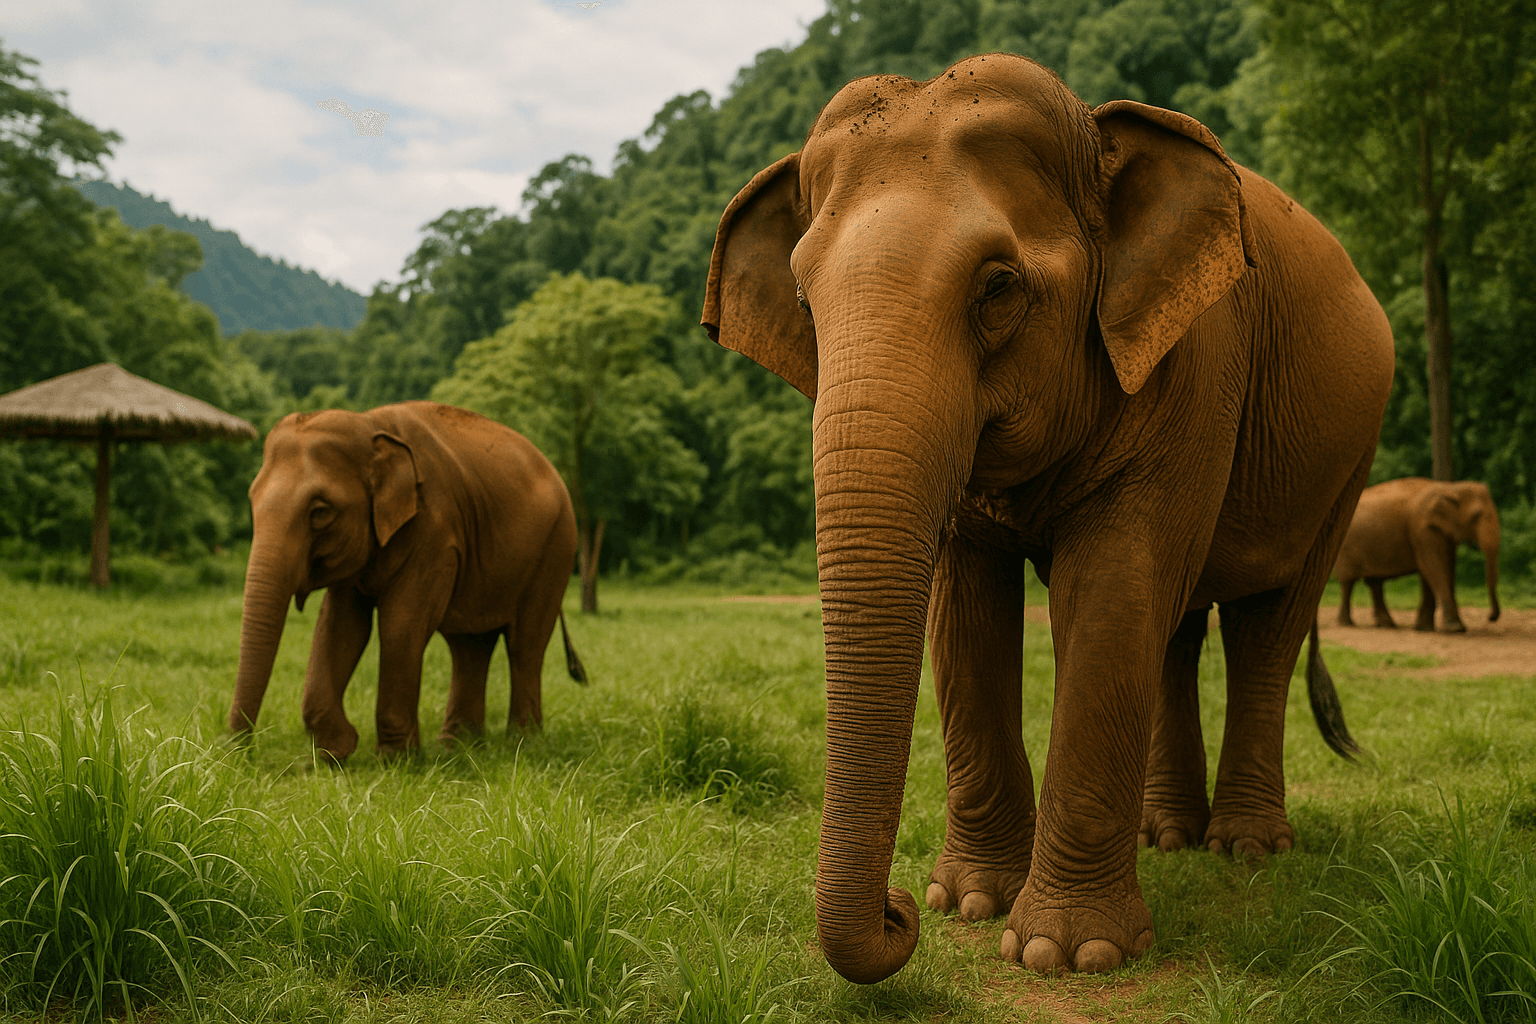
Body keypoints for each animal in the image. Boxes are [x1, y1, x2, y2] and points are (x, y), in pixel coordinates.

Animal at [228, 401, 587, 761]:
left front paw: (394, 759)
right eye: (251, 500)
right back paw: (459, 747)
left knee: (524, 644)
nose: (240, 754)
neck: (370, 425)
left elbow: (400, 623)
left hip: (555, 547)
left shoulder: (435, 532)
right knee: (470, 645)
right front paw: (336, 752)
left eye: (320, 511)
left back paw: (521, 744)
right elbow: (339, 626)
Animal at [701, 54, 1394, 981]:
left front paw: (1067, 952)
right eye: (807, 307)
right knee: (1177, 630)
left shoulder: (1198, 360)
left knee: (1266, 626)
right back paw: (1167, 837)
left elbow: (1108, 593)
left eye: (999, 288)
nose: (895, 911)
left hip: (1348, 459)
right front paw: (966, 905)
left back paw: (1245, 850)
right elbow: (969, 613)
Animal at [1334, 477, 1501, 632]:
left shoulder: (1436, 531)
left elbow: (1437, 568)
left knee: (1375, 582)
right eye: (1476, 516)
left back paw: (1387, 625)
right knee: (1348, 581)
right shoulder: (1421, 528)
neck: (1450, 487)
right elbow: (1432, 566)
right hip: (1345, 548)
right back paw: (1347, 624)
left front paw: (1423, 628)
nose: (1490, 617)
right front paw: (1455, 629)